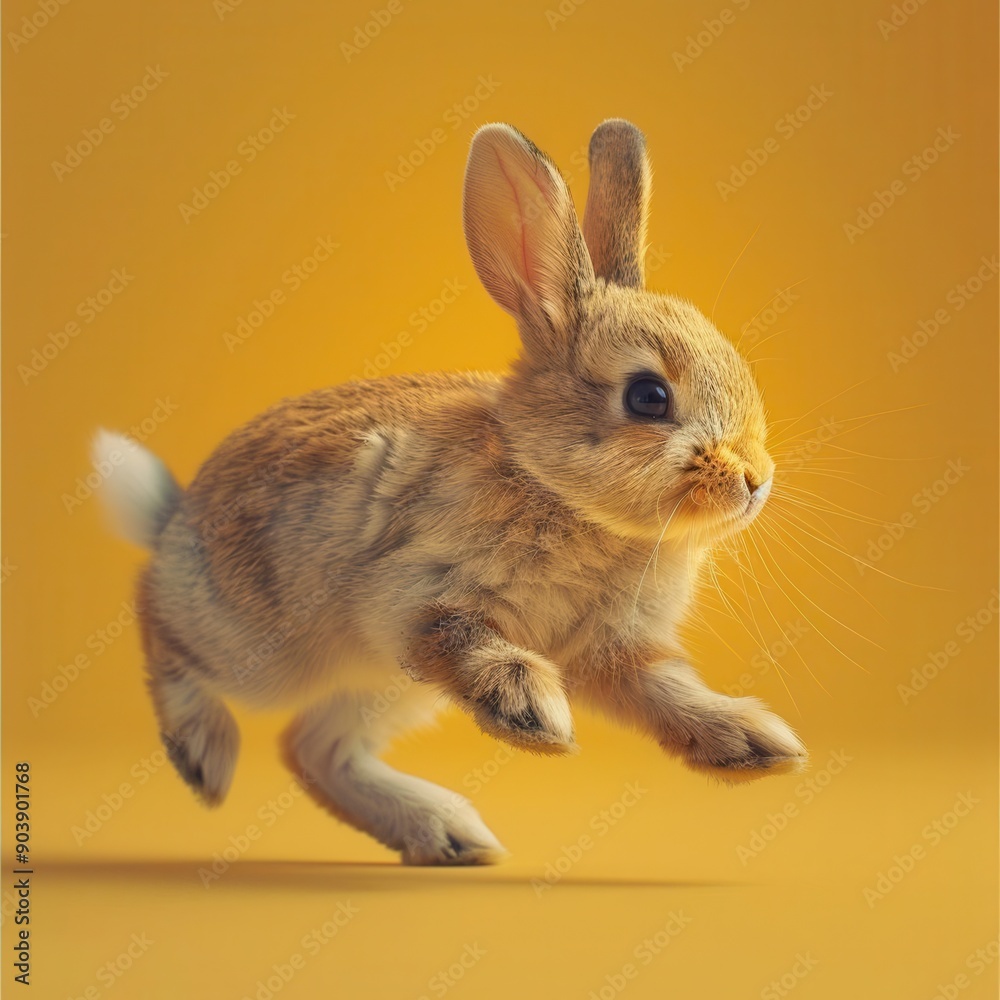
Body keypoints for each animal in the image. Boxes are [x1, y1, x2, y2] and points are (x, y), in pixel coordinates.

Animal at [93, 118, 807, 866]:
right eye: (648, 396)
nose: (756, 479)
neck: (555, 488)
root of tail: (173, 526)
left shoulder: (613, 648)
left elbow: (666, 688)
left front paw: (754, 743)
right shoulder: (414, 592)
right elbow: (470, 637)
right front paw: (533, 713)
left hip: (380, 686)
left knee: (315, 749)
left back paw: (448, 834)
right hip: (258, 645)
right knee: (161, 628)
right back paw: (204, 756)